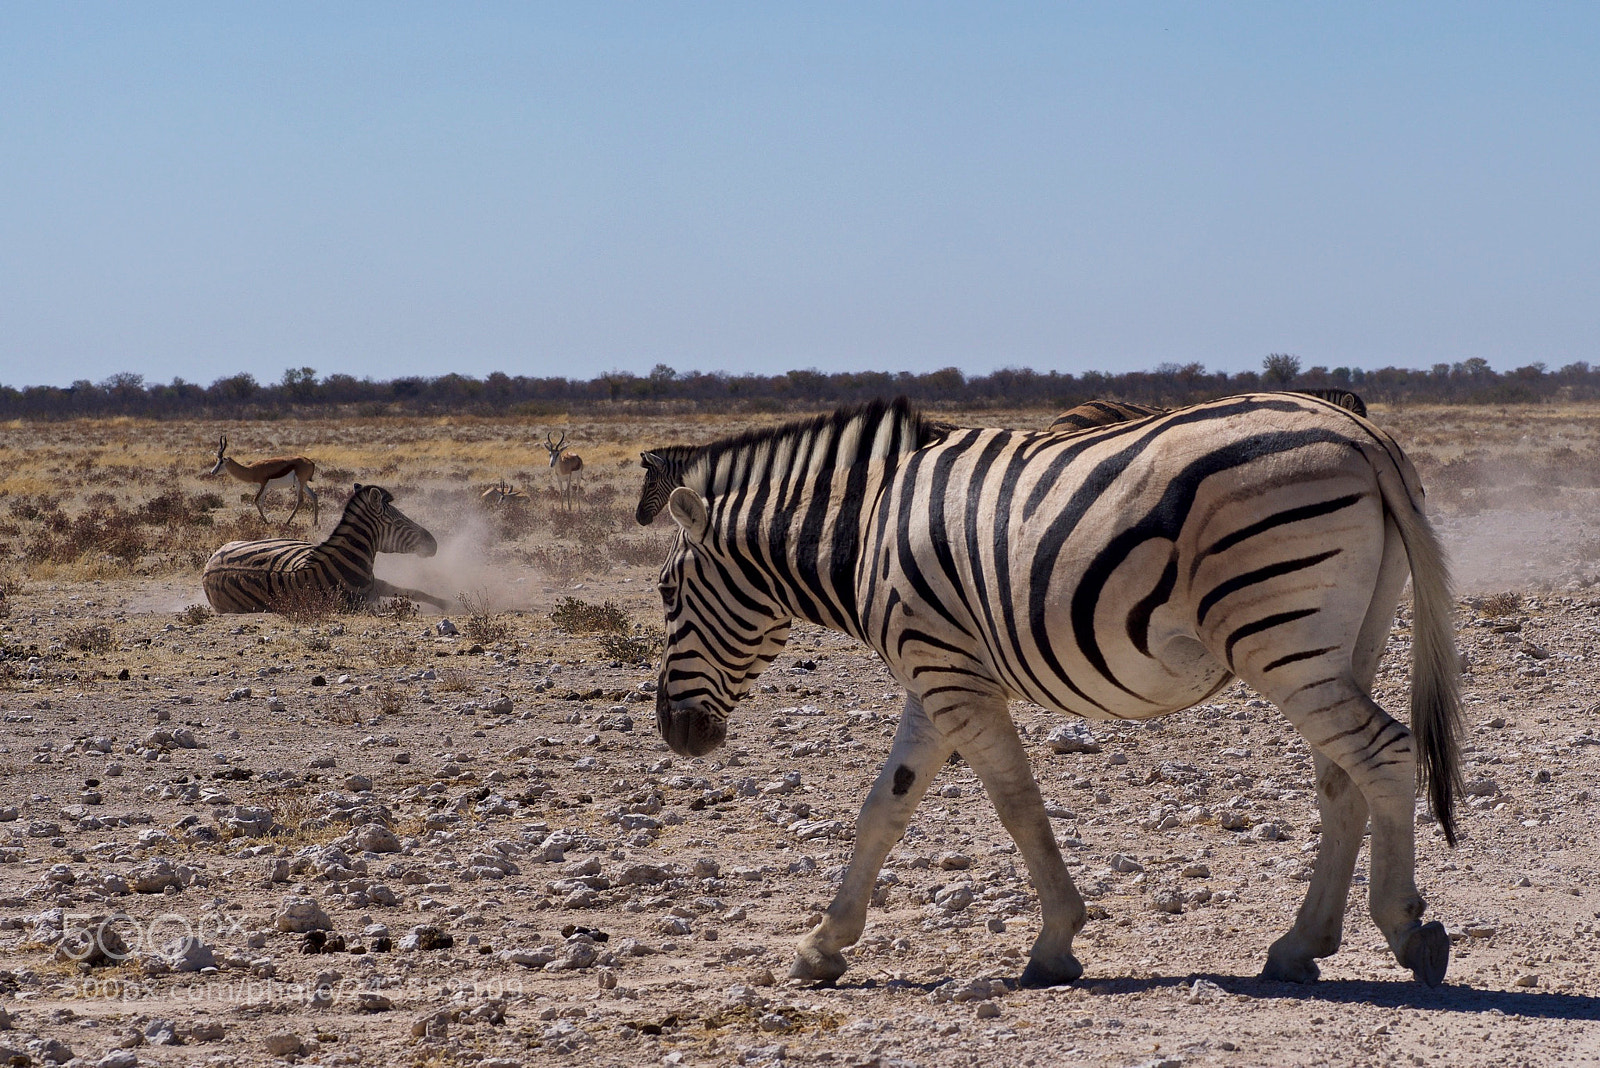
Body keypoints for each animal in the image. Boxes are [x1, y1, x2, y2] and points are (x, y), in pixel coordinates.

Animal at [202, 484, 449, 613]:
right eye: (398, 521)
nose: (433, 544)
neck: (342, 562)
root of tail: (207, 569)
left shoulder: (374, 585)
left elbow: (413, 591)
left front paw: (446, 603)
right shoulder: (363, 601)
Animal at [651, 393, 1461, 988]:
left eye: (664, 592)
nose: (674, 734)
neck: (863, 535)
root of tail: (1363, 433)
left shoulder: (949, 677)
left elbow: (1017, 804)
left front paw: (1054, 942)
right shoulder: (935, 676)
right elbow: (884, 808)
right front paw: (823, 944)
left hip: (1277, 635)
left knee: (1383, 753)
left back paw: (1405, 928)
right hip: (1345, 639)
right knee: (1342, 776)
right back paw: (1300, 945)